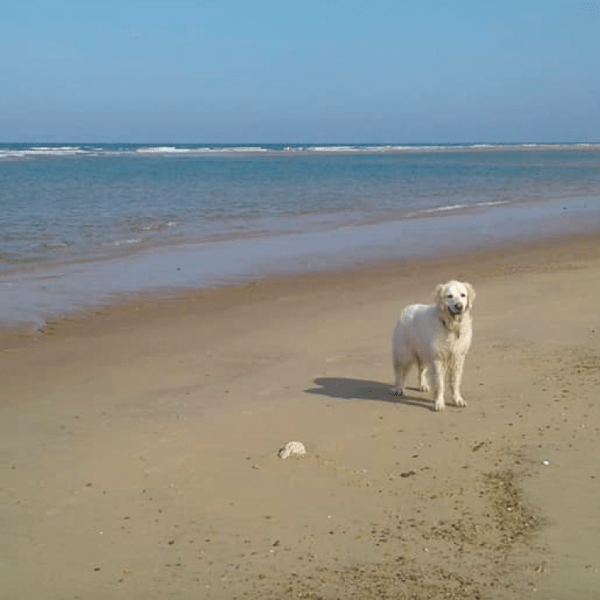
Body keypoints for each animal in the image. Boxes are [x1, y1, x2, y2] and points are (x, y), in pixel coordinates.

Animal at [392, 282, 476, 412]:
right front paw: (439, 403)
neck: (450, 326)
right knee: (399, 372)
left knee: (421, 370)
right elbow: (439, 384)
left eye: (463, 295)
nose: (459, 306)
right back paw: (398, 388)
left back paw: (423, 385)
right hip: (404, 354)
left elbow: (455, 381)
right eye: (449, 296)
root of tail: (407, 308)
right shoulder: (437, 359)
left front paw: (457, 399)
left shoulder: (458, 358)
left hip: (424, 353)